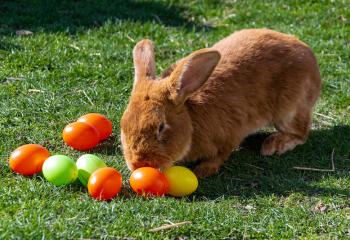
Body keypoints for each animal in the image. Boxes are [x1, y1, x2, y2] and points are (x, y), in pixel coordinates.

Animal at [119, 28, 320, 178]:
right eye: (123, 124)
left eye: (161, 127)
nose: (138, 164)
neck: (190, 117)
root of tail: (309, 56)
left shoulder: (230, 134)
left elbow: (221, 154)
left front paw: (203, 170)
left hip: (289, 111)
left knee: (300, 133)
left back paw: (274, 145)